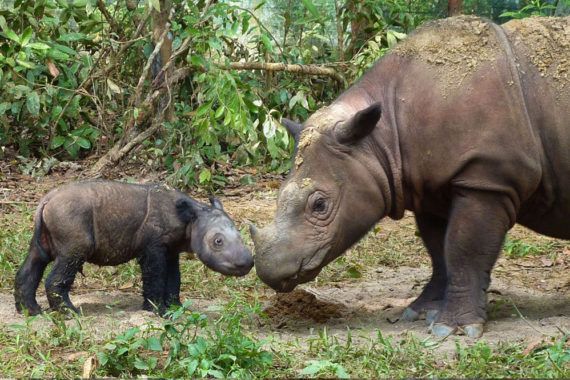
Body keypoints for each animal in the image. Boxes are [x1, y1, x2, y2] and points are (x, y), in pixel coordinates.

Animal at [13, 180, 252, 314]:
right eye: (218, 241)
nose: (247, 262)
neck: (191, 218)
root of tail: (46, 200)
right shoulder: (153, 247)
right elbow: (156, 276)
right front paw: (158, 311)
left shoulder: (171, 249)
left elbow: (174, 278)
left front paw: (176, 308)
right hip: (69, 217)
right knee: (70, 257)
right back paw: (70, 314)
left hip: (51, 220)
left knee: (36, 258)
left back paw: (30, 312)